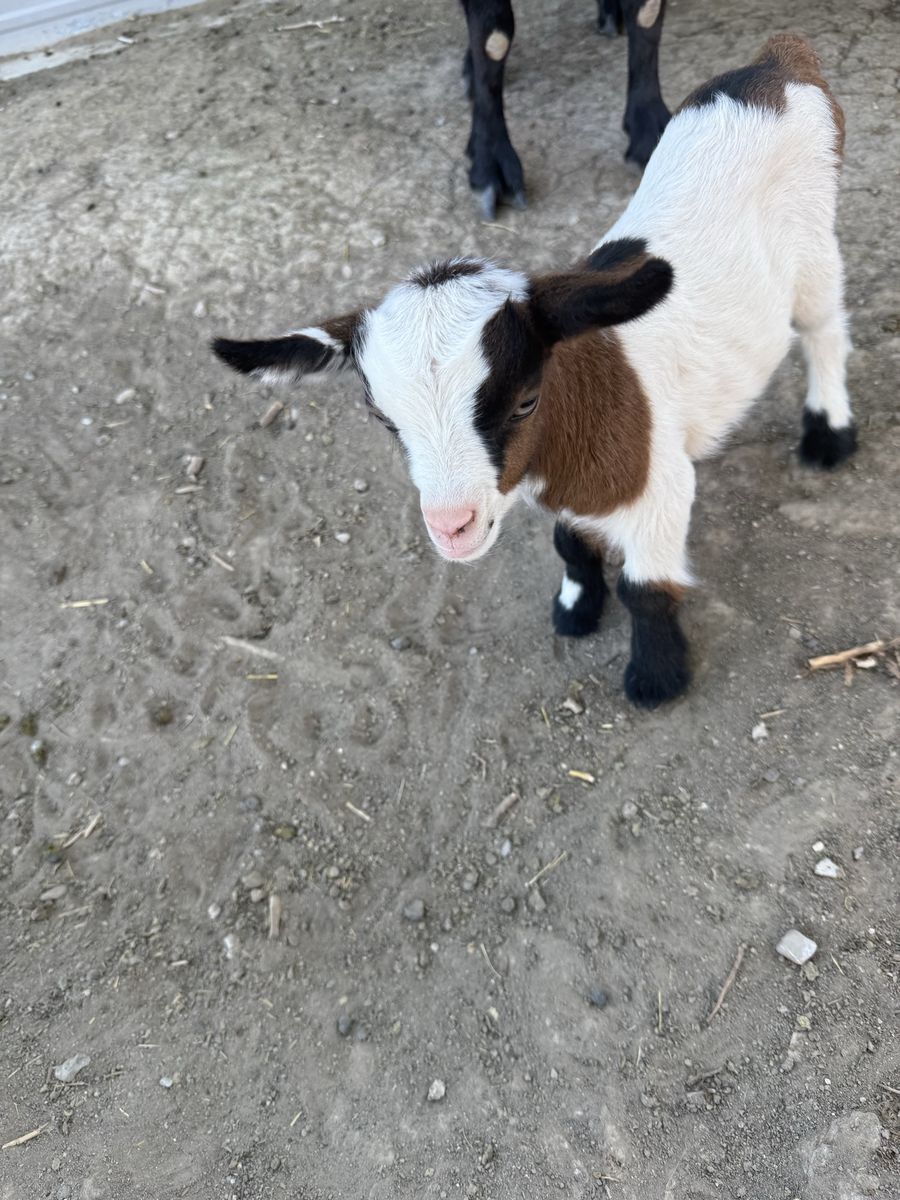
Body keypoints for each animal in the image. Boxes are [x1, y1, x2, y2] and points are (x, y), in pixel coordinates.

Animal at [213, 35, 856, 708]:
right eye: (385, 421)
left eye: (525, 401)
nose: (452, 528)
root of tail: (779, 63)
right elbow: (569, 543)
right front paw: (575, 608)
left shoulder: (663, 488)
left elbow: (645, 589)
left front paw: (656, 678)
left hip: (815, 246)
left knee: (824, 330)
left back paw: (829, 436)